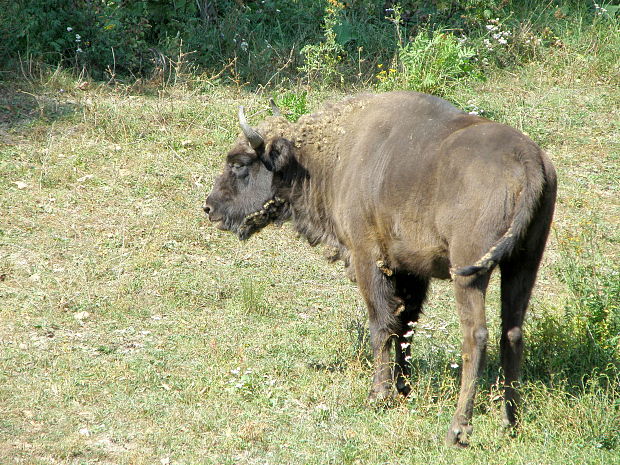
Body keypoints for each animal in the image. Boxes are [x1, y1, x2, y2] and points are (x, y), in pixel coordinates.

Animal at [203, 91, 556, 446]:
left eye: (239, 164)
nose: (209, 207)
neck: (327, 156)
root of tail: (527, 157)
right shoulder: (411, 271)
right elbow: (405, 326)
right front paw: (403, 388)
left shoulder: (369, 259)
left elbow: (381, 324)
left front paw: (378, 395)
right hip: (524, 263)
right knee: (512, 332)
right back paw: (510, 423)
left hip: (469, 271)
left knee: (476, 335)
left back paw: (457, 430)